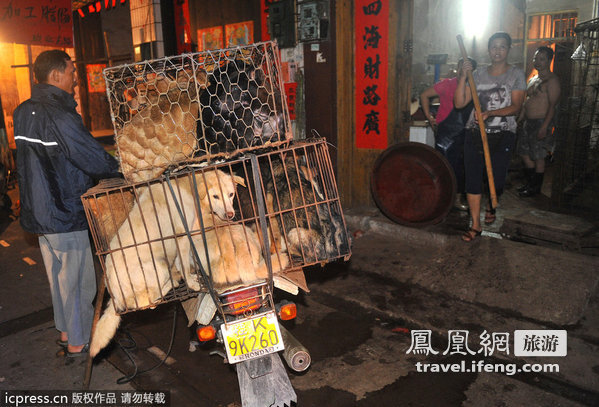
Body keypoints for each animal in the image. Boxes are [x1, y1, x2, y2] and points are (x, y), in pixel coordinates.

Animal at [89, 168, 244, 356]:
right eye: (215, 196)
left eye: (231, 194)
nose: (230, 214)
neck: (186, 186)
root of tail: (116, 296)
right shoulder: (183, 236)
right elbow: (184, 266)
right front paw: (191, 283)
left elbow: (180, 262)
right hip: (159, 267)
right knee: (147, 303)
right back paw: (172, 281)